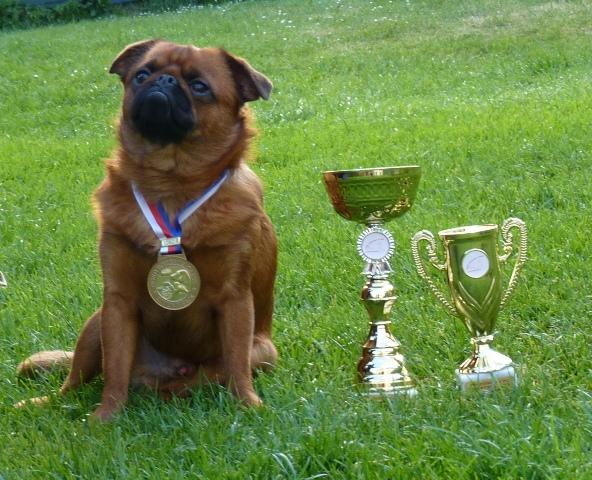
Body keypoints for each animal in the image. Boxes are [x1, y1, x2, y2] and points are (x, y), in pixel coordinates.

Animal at [16, 39, 278, 421]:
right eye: (142, 74)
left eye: (200, 86)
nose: (164, 81)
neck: (168, 184)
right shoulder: (118, 301)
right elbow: (114, 372)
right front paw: (105, 418)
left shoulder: (235, 301)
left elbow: (237, 366)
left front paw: (247, 405)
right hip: (95, 324)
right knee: (74, 382)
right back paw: (44, 404)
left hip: (263, 353)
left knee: (207, 377)